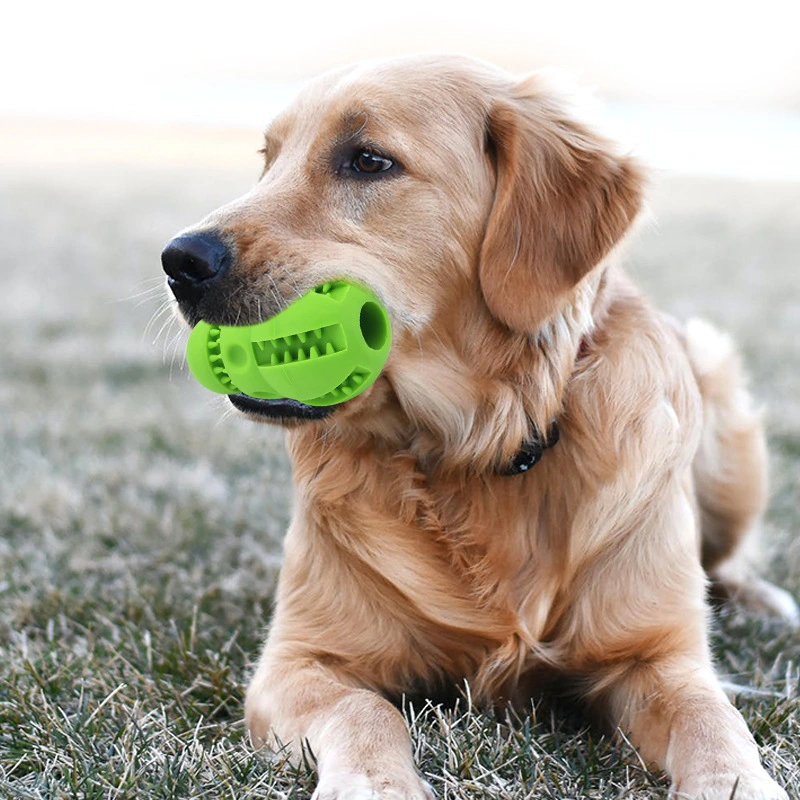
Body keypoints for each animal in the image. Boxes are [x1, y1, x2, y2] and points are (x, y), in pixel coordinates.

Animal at [161, 53, 792, 796]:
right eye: (269, 159)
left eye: (367, 160)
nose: (180, 261)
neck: (475, 448)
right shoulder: (300, 659)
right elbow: (365, 713)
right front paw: (377, 783)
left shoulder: (660, 658)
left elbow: (714, 724)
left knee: (727, 558)